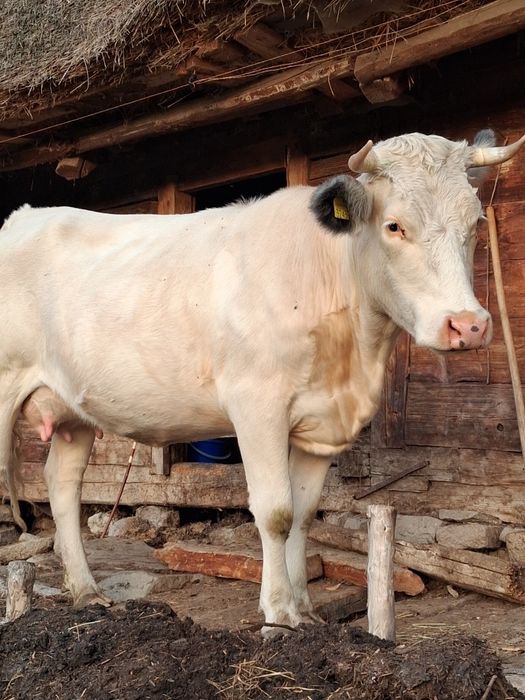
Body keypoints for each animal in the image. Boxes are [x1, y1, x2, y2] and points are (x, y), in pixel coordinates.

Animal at [1, 130, 523, 636]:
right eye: (394, 226)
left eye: (475, 222)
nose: (468, 325)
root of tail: (25, 215)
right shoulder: (257, 406)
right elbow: (275, 512)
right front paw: (279, 613)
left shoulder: (320, 423)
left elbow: (305, 513)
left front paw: (306, 610)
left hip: (72, 411)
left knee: (62, 485)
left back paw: (86, 592)